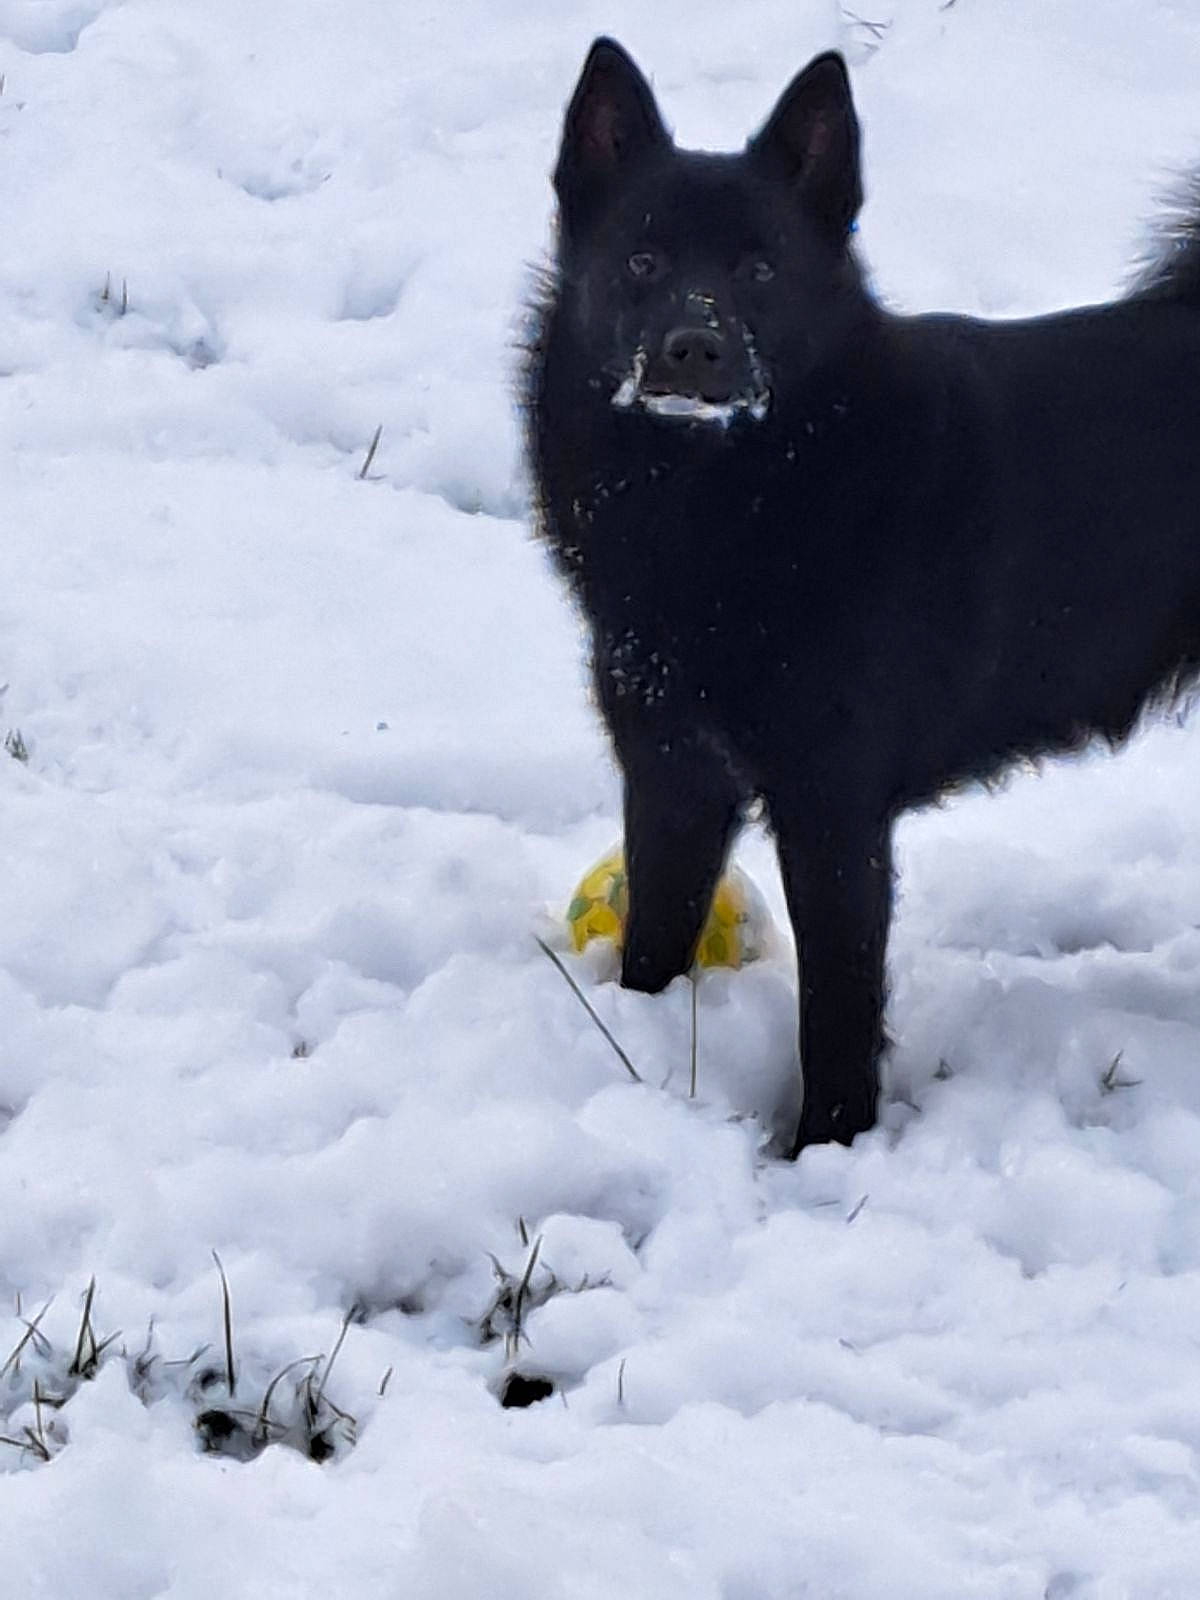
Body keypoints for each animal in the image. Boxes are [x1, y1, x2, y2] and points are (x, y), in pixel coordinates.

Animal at [524, 37, 1200, 1155]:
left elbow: (836, 1010)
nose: (695, 350)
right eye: (643, 261)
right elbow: (656, 939)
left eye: (760, 268)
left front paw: (825, 1152)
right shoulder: (672, 772)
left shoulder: (831, 811)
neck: (724, 504)